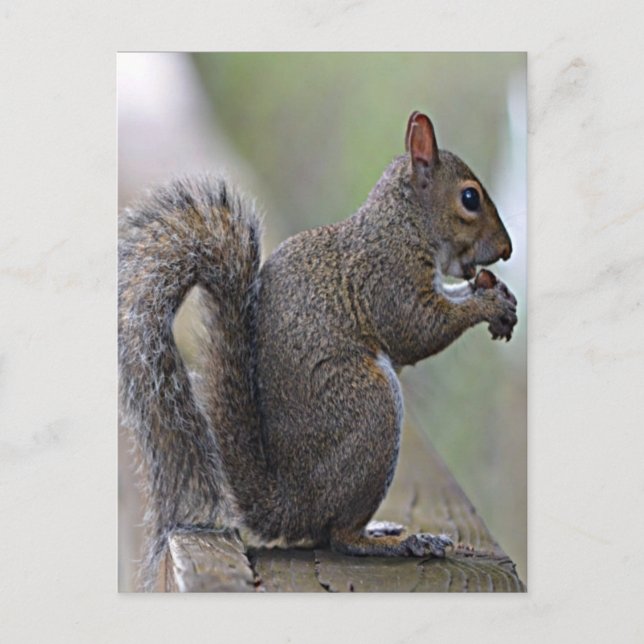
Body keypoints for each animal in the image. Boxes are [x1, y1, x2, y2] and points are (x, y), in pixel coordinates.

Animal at [119, 110, 517, 590]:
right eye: (470, 198)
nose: (508, 250)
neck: (401, 223)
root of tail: (289, 505)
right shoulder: (386, 279)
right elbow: (417, 330)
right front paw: (487, 304)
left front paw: (498, 298)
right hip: (371, 407)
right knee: (338, 536)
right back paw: (395, 541)